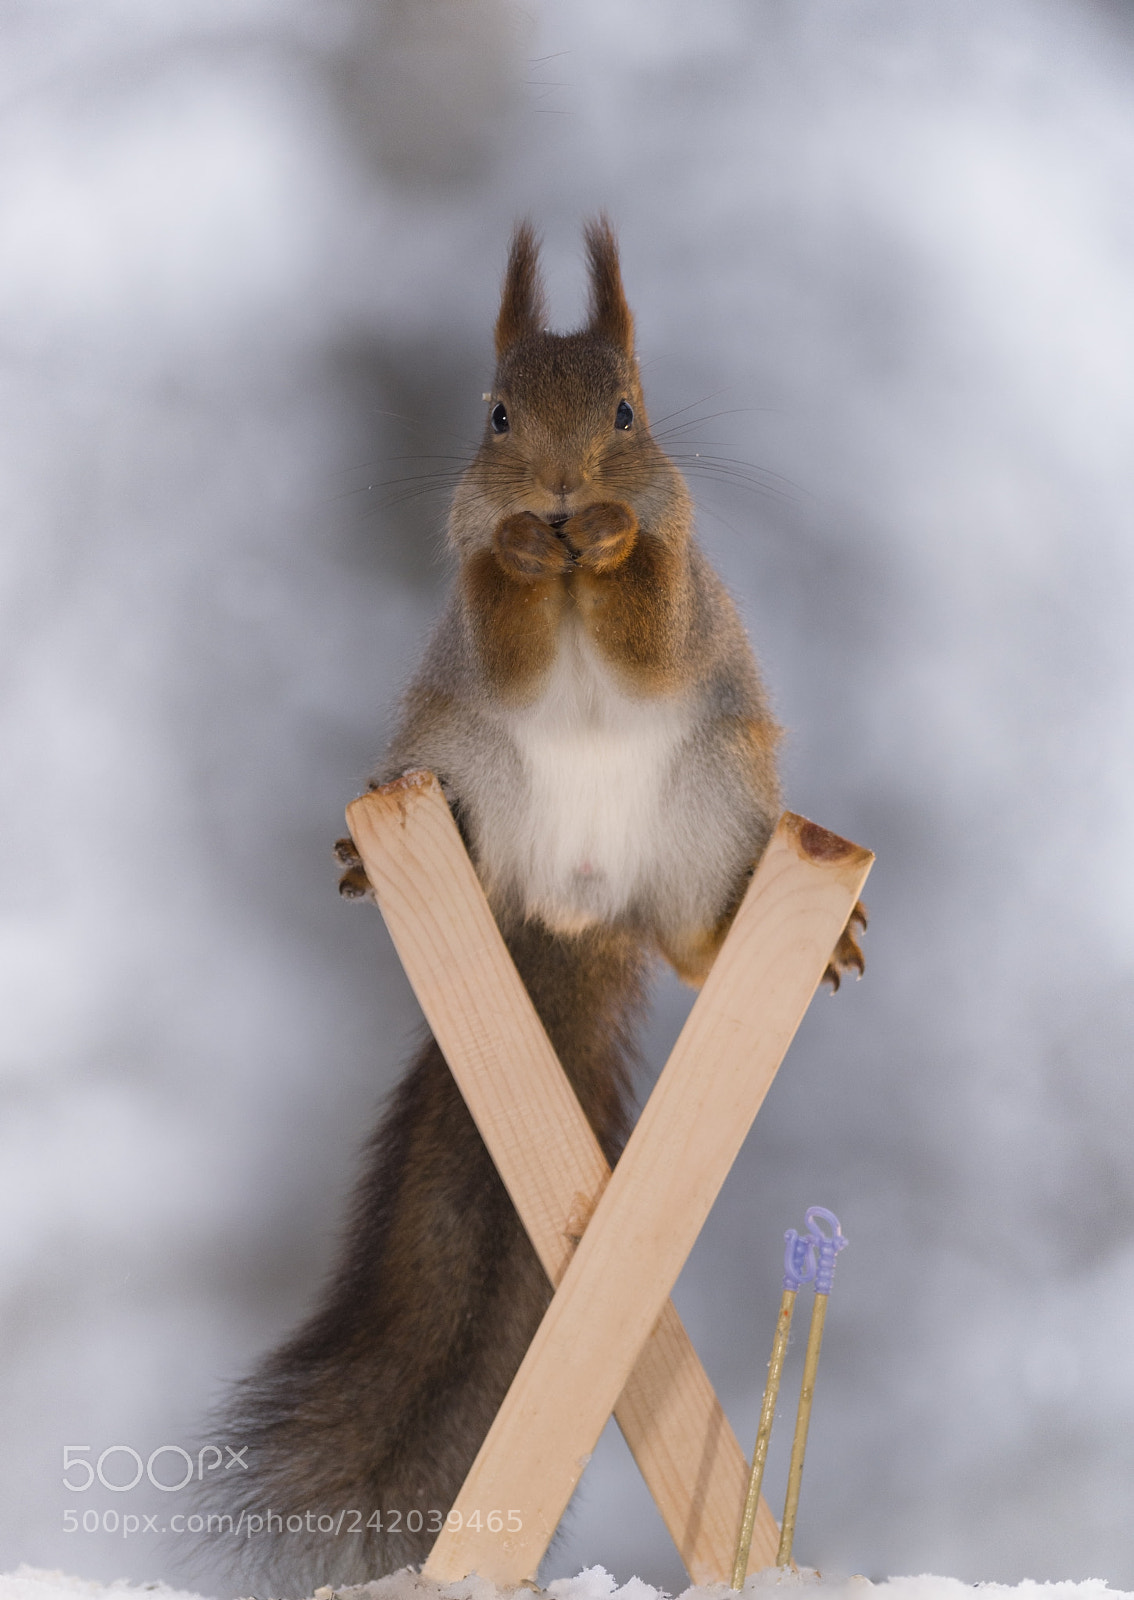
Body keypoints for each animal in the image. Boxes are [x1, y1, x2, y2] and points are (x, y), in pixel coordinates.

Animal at [210, 220, 865, 1593]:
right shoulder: (476, 617)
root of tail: (575, 910)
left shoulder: (680, 596)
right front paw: (523, 549)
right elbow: (501, 621)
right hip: (459, 758)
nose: (562, 496)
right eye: (498, 414)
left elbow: (652, 618)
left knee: (691, 944)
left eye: (627, 411)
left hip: (714, 803)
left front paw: (611, 536)